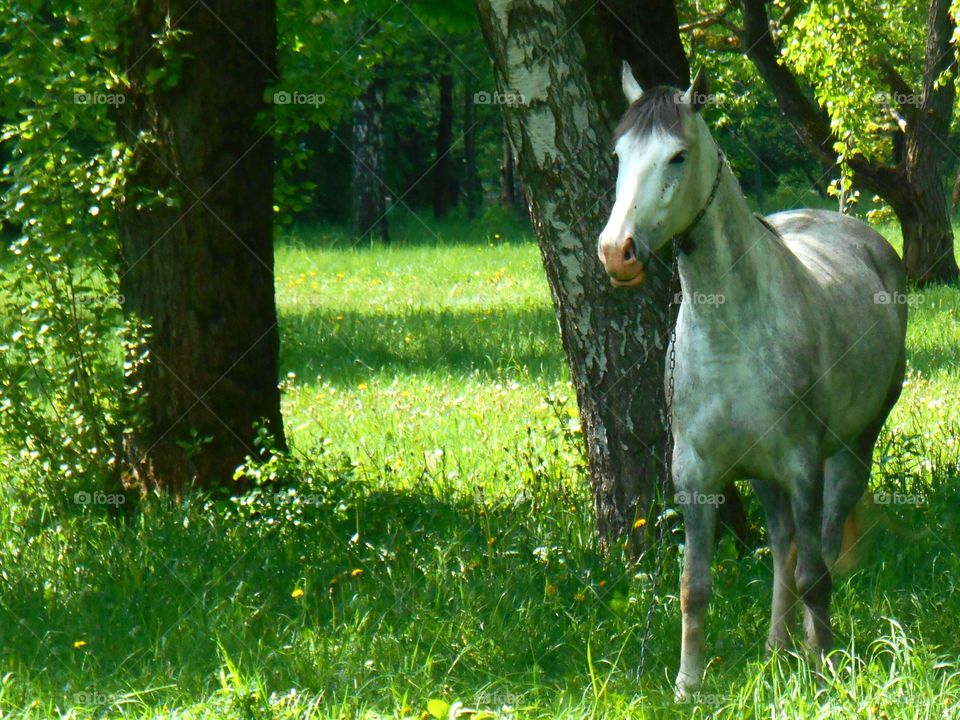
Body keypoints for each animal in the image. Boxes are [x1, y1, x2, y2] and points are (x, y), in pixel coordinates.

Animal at [600, 64, 908, 700]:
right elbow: (694, 587)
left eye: (677, 156)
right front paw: (687, 686)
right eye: (619, 154)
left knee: (817, 545)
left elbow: (816, 574)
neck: (729, 334)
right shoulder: (695, 475)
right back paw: (774, 647)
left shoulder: (801, 464)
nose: (617, 253)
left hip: (851, 450)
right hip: (766, 476)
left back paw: (805, 649)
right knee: (783, 545)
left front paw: (824, 671)